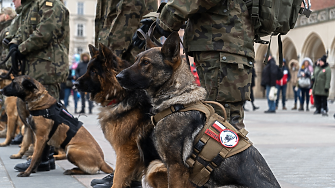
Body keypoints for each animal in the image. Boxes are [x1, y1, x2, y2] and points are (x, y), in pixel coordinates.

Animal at [75, 43, 167, 187]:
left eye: (94, 72)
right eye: (88, 69)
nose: (74, 84)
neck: (122, 95)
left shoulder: (126, 151)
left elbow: (118, 177)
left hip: (156, 166)